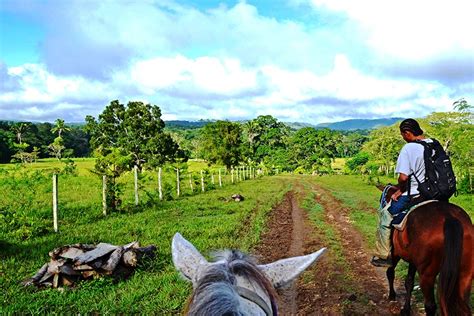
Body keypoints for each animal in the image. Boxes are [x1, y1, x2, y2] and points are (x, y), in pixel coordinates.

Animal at [384, 185, 472, 316]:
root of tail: (449, 218)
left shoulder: (395, 252)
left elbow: (390, 272)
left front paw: (392, 296)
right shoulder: (414, 260)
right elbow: (409, 281)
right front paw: (406, 309)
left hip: (427, 274)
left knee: (430, 306)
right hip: (466, 272)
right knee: (464, 307)